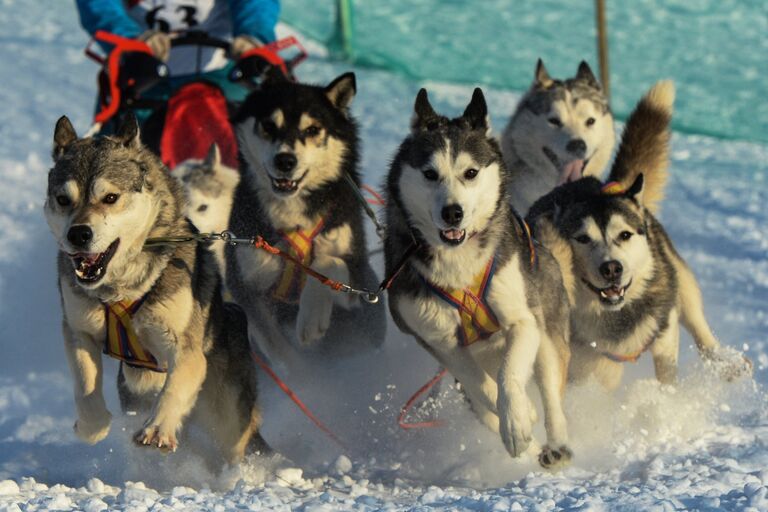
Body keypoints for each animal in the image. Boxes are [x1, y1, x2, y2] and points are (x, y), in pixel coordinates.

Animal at [388, 88, 572, 468]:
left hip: (547, 332)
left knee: (551, 394)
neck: (458, 267)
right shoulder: (443, 343)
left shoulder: (522, 321)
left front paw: (516, 420)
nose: (452, 212)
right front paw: (519, 420)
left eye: (470, 172)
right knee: (483, 403)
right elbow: (484, 385)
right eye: (429, 174)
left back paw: (556, 444)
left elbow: (508, 375)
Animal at [528, 82, 752, 390]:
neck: (617, 313)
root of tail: (611, 186)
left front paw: (666, 398)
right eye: (582, 239)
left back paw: (722, 360)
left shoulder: (664, 331)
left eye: (624, 234)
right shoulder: (584, 361)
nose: (612, 268)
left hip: (679, 280)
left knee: (696, 318)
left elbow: (667, 372)